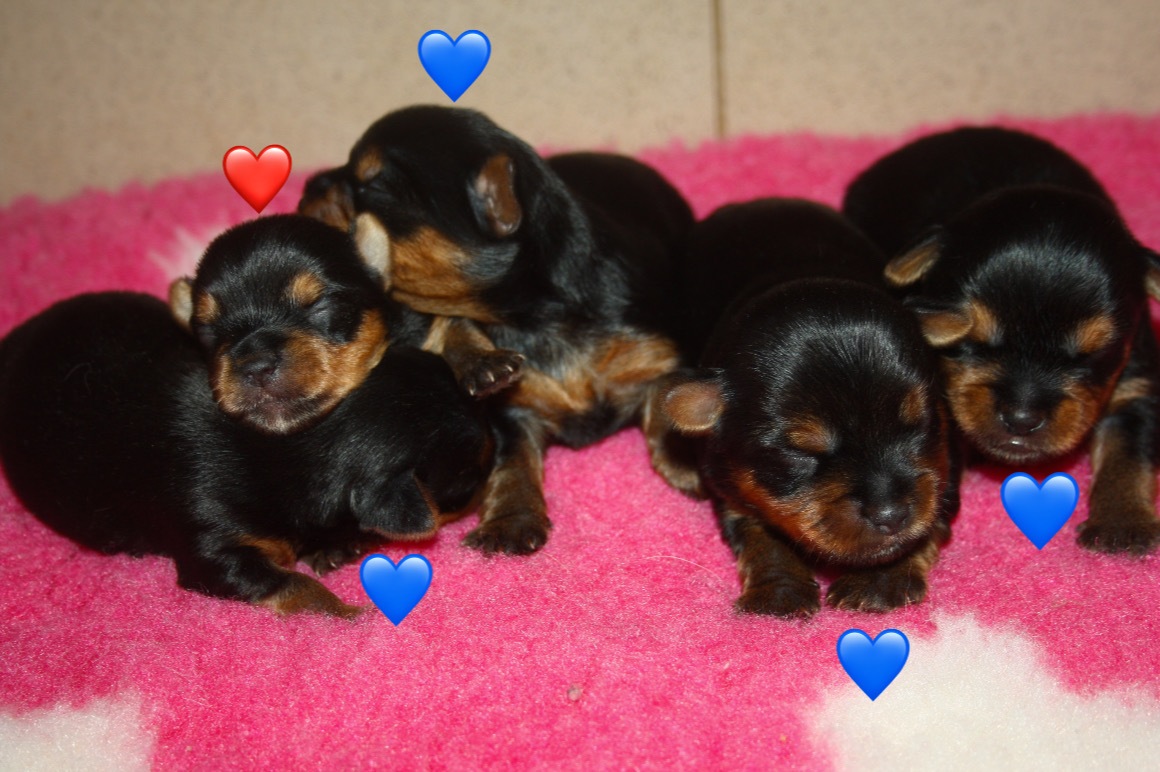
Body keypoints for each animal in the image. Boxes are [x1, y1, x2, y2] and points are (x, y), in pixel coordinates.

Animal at [0, 216, 493, 616]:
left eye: (320, 306)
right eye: (206, 330)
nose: (253, 363)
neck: (292, 447)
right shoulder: (216, 550)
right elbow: (296, 587)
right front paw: (352, 616)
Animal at [299, 105, 694, 555]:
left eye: (373, 183)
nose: (307, 184)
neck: (535, 315)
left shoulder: (654, 354)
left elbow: (665, 399)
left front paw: (685, 461)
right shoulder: (511, 406)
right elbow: (513, 461)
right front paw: (510, 521)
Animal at [653, 199, 959, 617]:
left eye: (920, 422)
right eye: (799, 452)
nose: (891, 516)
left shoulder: (945, 467)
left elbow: (928, 517)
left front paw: (878, 582)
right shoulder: (731, 486)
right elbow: (762, 539)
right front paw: (779, 593)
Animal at [843, 127, 1160, 555]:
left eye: (1094, 354)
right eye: (968, 341)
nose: (1021, 419)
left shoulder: (1135, 383)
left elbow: (1128, 454)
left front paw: (1122, 521)